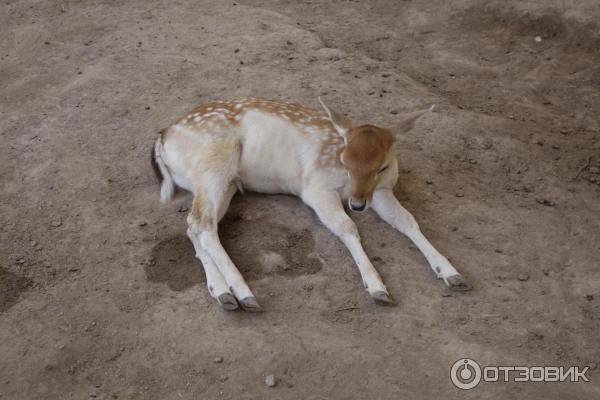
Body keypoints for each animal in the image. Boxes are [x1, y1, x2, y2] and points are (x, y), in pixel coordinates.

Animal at [150, 97, 468, 312]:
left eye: (383, 167)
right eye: (345, 161)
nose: (357, 204)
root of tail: (162, 138)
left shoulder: (380, 191)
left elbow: (408, 220)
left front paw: (451, 272)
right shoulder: (315, 187)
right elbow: (347, 228)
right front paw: (377, 287)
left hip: (226, 182)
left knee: (194, 224)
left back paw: (222, 293)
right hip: (214, 161)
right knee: (202, 224)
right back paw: (244, 294)